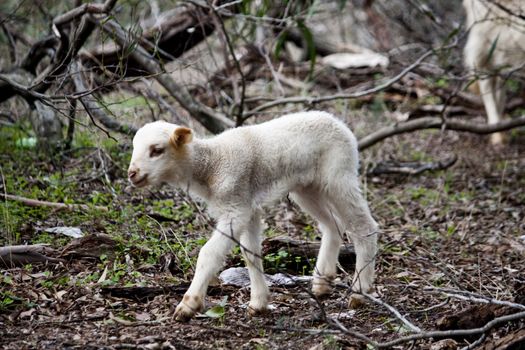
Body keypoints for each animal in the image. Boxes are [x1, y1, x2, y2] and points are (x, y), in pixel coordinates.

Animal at [129, 110, 378, 322]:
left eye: (157, 150)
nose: (132, 173)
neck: (211, 165)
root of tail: (339, 123)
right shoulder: (248, 208)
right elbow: (250, 254)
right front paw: (258, 304)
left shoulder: (236, 208)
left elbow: (209, 254)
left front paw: (188, 305)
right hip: (308, 188)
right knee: (333, 225)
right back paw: (322, 283)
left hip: (339, 175)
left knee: (364, 226)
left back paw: (359, 293)